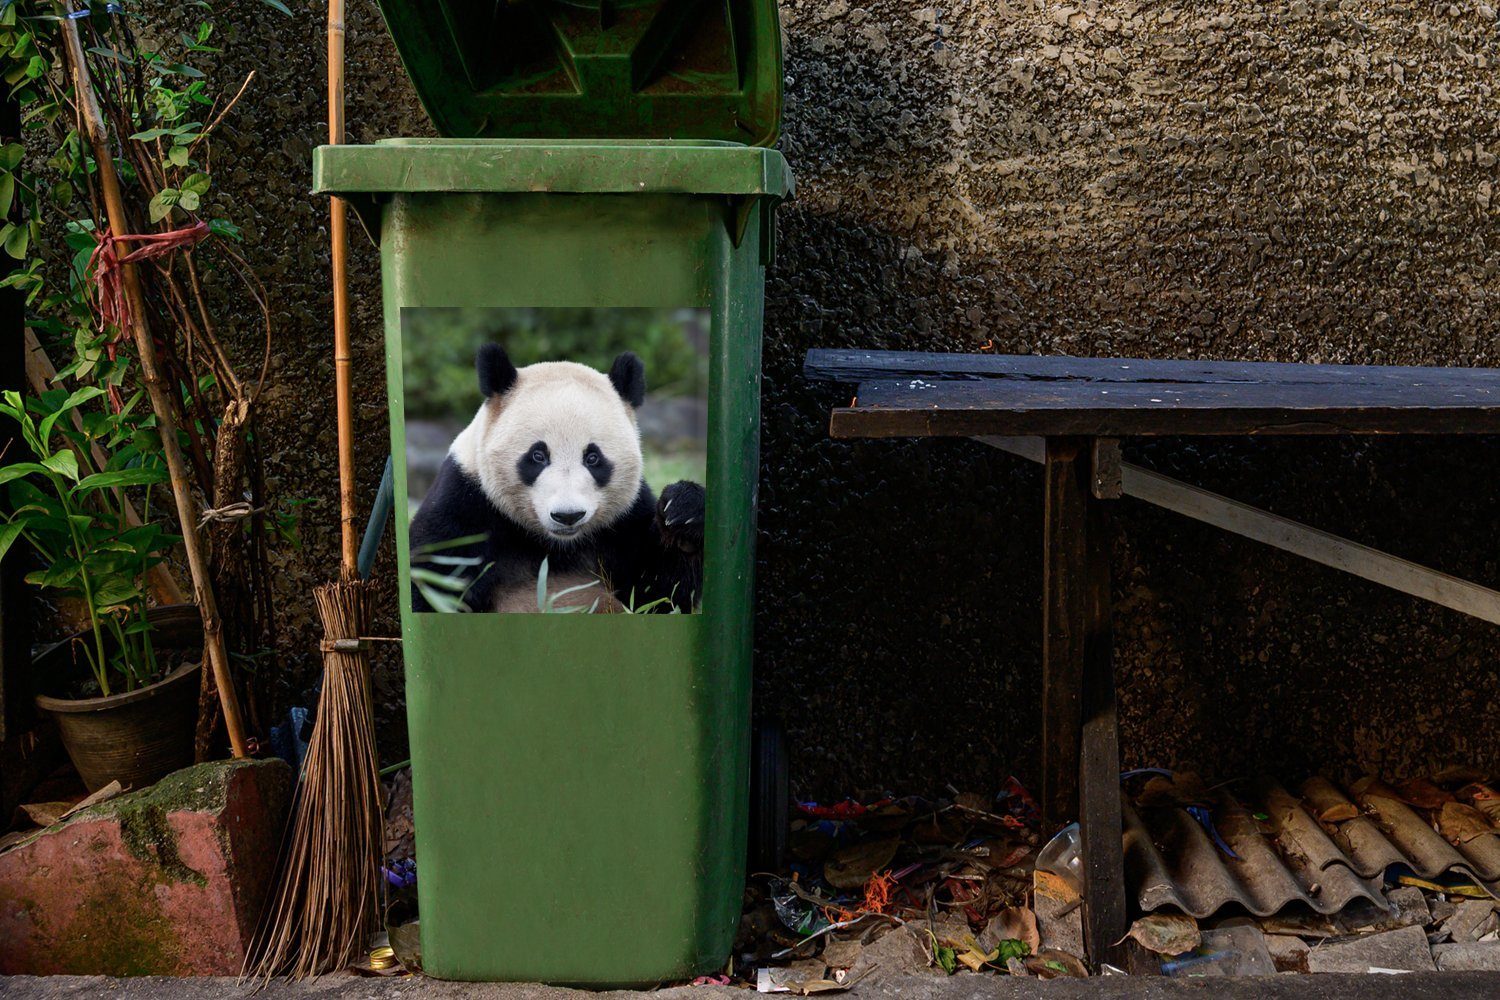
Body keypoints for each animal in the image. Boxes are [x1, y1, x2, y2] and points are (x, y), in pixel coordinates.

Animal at [408, 341, 705, 611]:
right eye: (538, 456)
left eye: (593, 458)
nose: (568, 515)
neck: (556, 545)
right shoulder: (465, 507)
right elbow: (433, 582)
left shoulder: (624, 520)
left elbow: (660, 592)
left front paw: (682, 513)